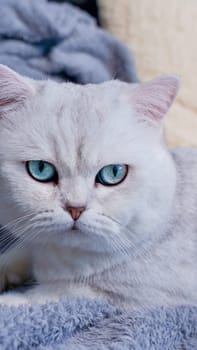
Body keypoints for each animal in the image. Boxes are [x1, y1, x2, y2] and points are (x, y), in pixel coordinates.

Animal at [0, 65, 195, 308]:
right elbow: (20, 252)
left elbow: (46, 295)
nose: (75, 208)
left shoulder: (125, 298)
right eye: (41, 169)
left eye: (114, 173)